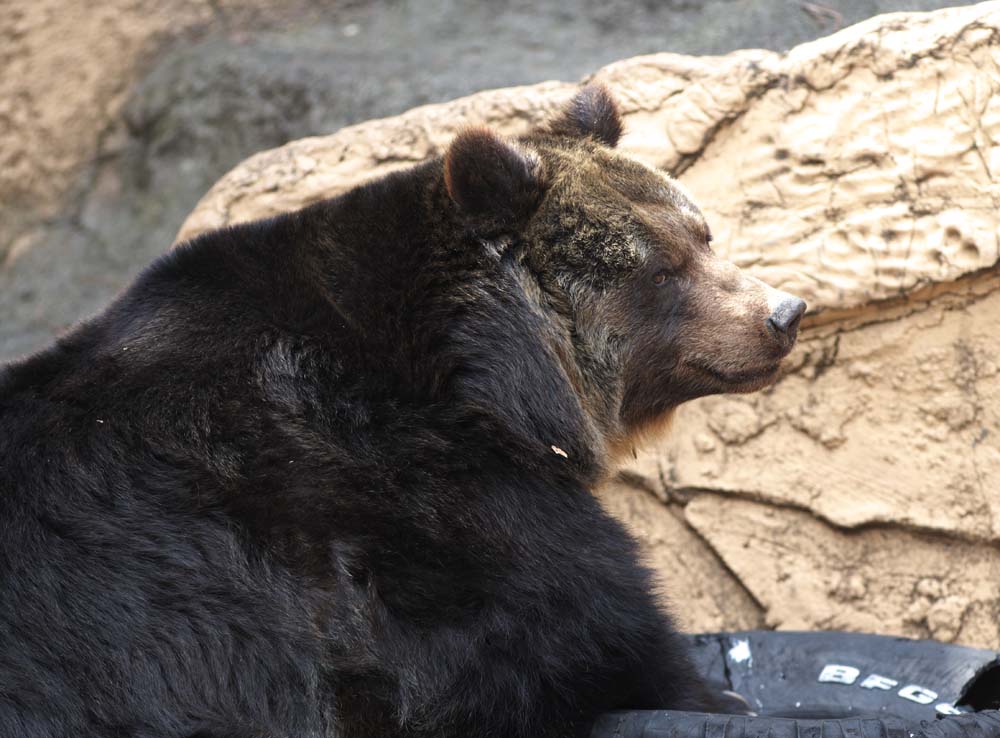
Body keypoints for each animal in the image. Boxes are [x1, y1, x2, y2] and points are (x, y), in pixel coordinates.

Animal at [0, 85, 804, 736]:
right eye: (660, 270)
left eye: (702, 235)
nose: (783, 313)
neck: (484, 382)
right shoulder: (407, 498)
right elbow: (588, 621)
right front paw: (718, 694)